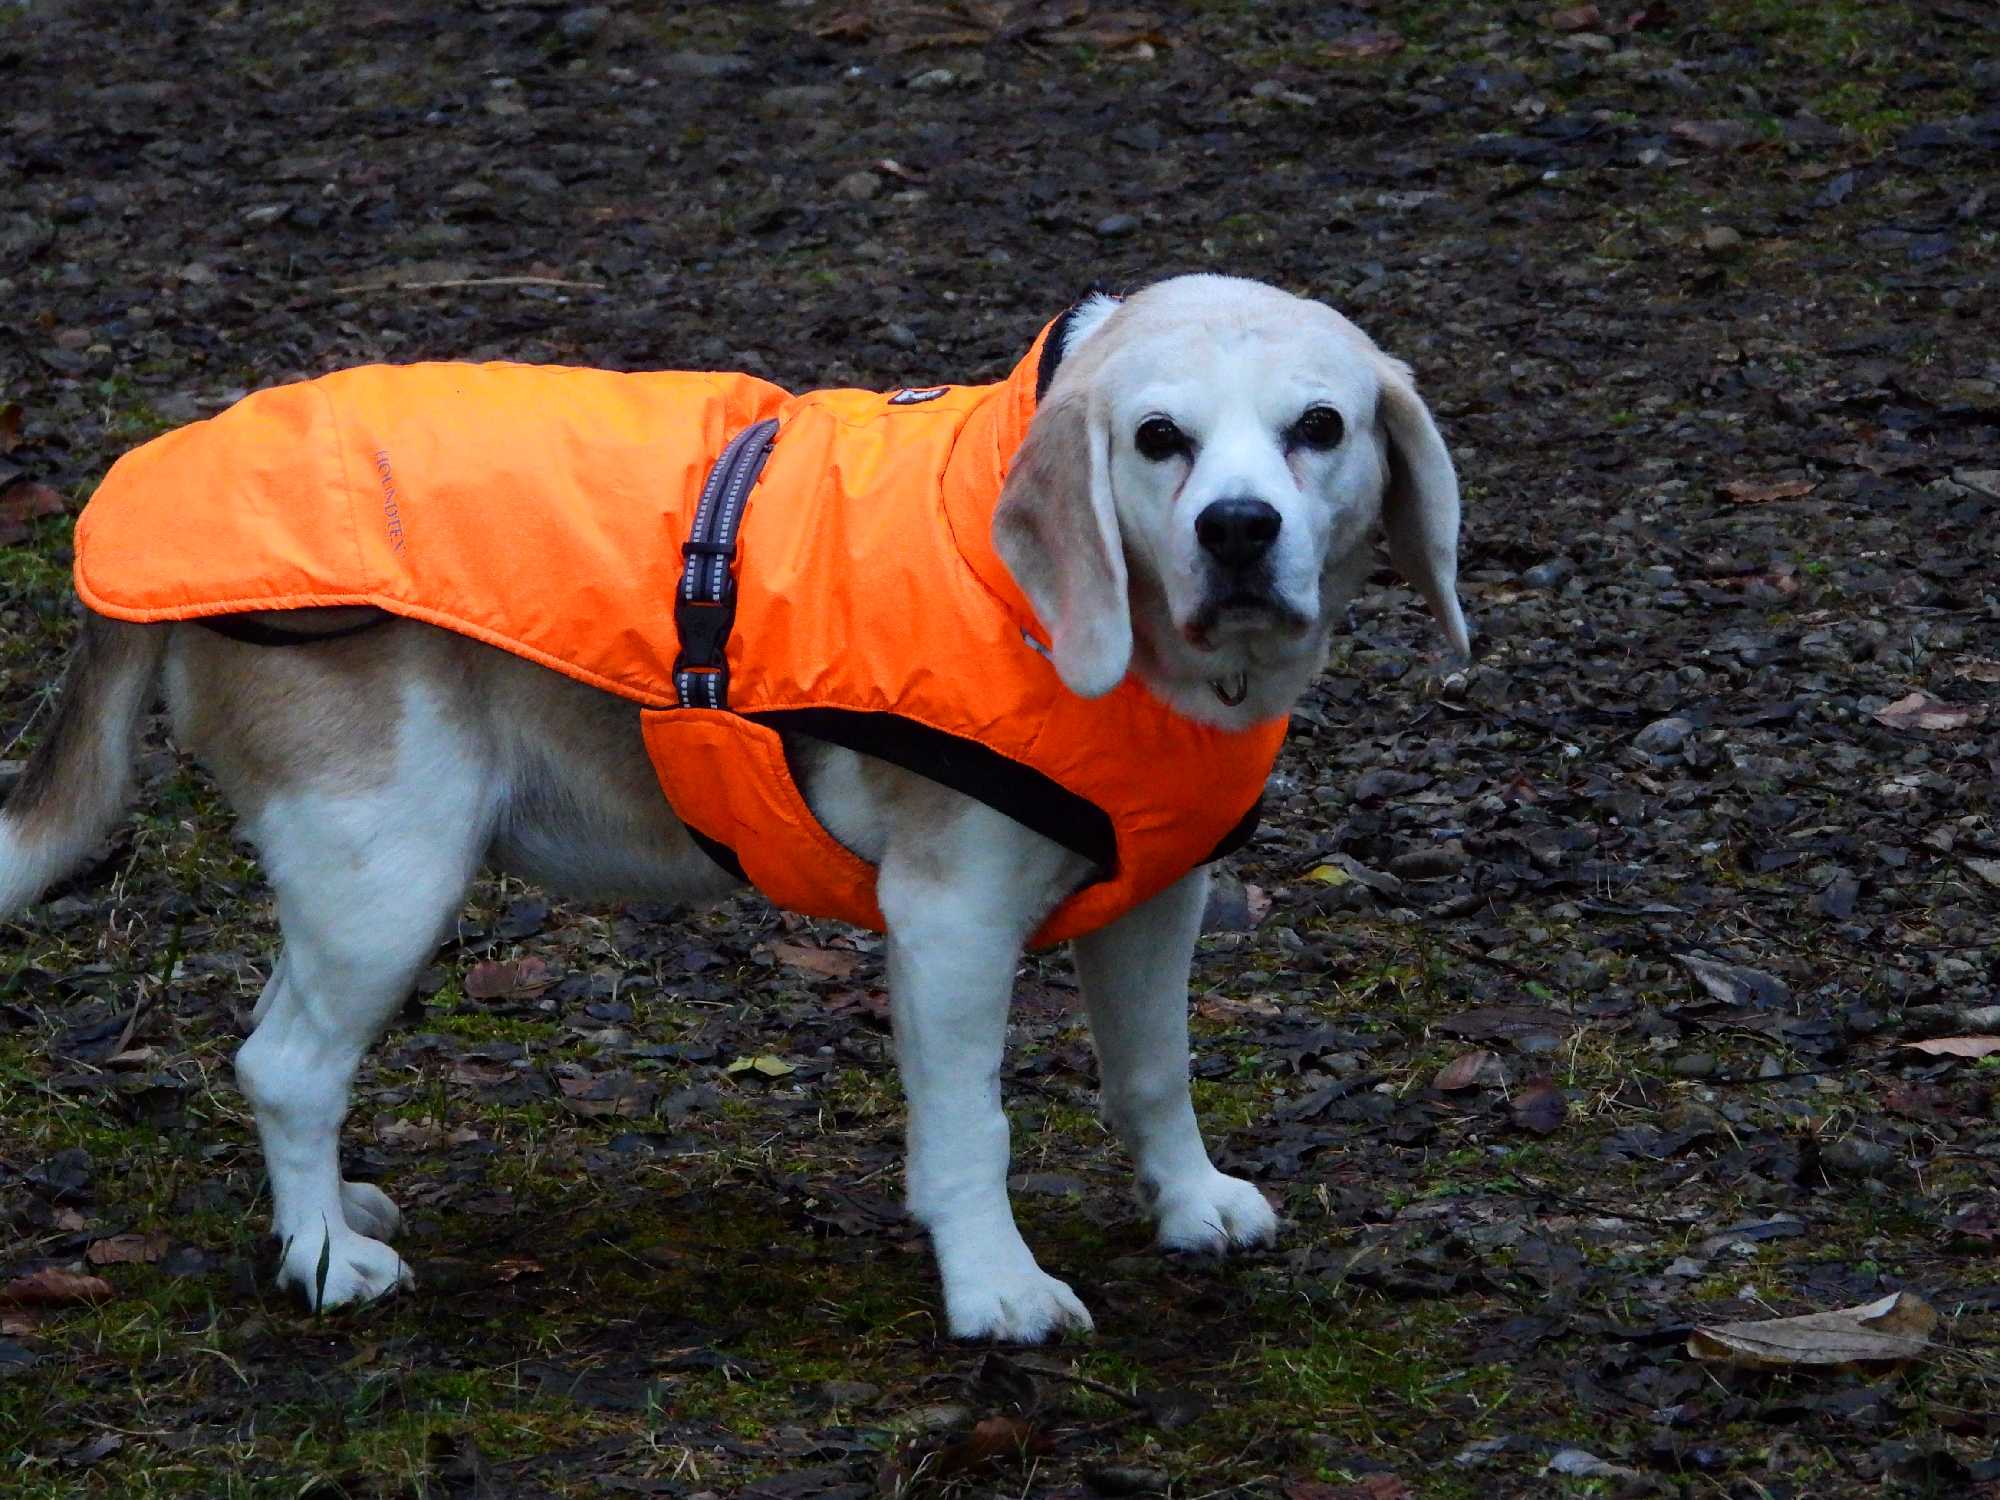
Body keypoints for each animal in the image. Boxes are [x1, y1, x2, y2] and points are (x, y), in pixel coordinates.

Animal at [0, 275, 1468, 1343]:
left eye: (1320, 429)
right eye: (1158, 442)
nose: (1236, 531)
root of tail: (144, 510)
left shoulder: (1159, 895)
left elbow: (1156, 1070)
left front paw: (1190, 1204)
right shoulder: (950, 925)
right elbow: (973, 1129)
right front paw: (995, 1289)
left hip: (354, 882)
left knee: (283, 1047)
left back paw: (326, 1210)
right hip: (386, 869)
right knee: (285, 1065)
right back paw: (321, 1259)